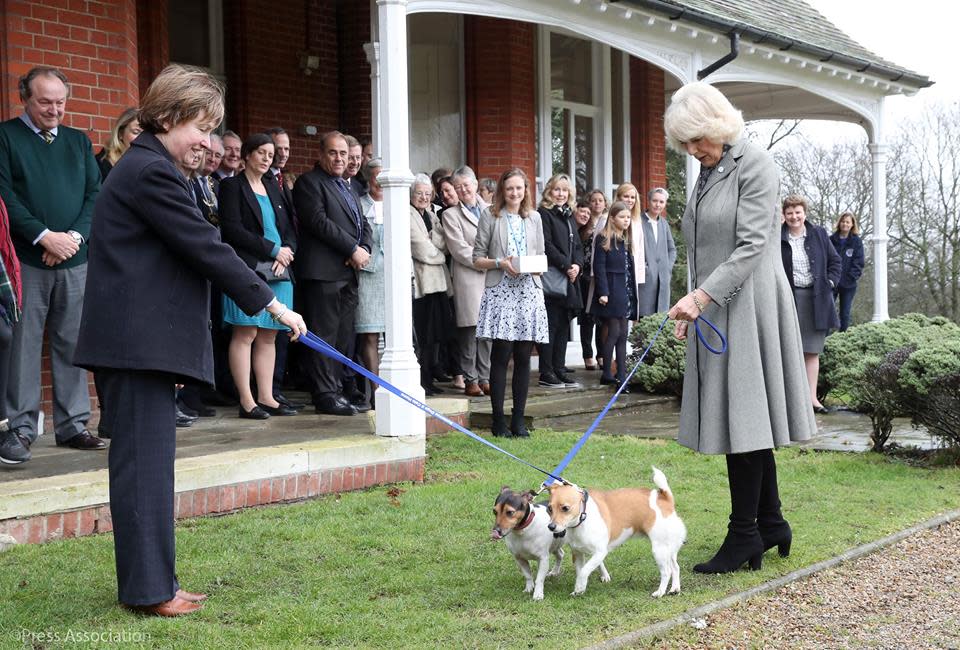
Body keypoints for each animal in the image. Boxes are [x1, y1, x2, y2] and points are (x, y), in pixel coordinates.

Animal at [544, 466, 688, 596]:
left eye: (565, 508)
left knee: (667, 572)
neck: (583, 519)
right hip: (668, 548)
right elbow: (581, 571)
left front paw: (580, 587)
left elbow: (584, 571)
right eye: (549, 508)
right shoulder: (578, 553)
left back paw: (660, 592)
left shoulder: (600, 552)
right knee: (675, 567)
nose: (551, 527)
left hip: (659, 549)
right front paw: (579, 589)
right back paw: (675, 589)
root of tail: (665, 499)